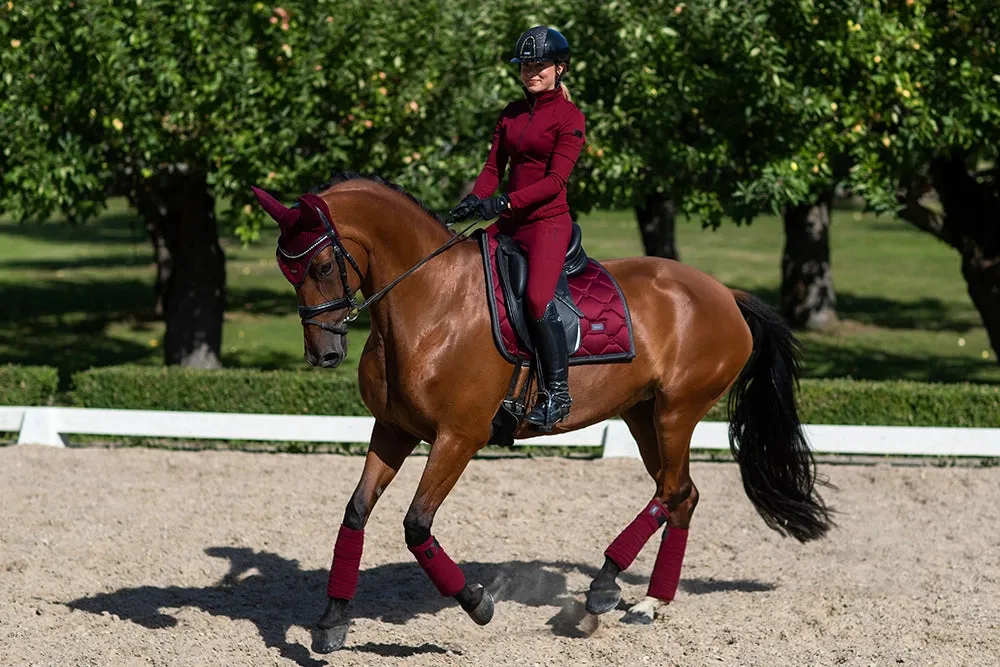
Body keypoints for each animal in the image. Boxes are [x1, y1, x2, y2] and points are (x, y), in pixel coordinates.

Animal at [254, 172, 832, 652]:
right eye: (287, 270)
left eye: (321, 266)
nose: (324, 354)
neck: (429, 303)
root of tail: (724, 293)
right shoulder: (393, 429)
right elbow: (355, 513)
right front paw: (331, 621)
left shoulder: (458, 437)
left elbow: (417, 525)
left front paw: (478, 604)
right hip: (643, 416)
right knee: (682, 495)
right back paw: (649, 603)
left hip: (676, 412)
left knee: (670, 493)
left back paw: (602, 589)